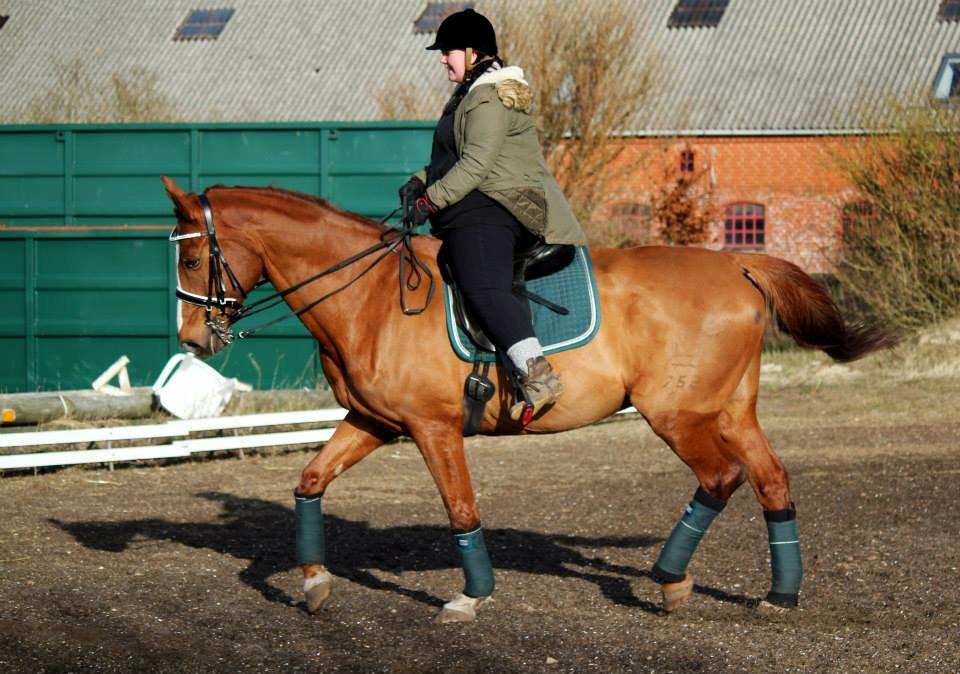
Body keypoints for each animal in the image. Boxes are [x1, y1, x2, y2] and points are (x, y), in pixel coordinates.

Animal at [163, 177, 892, 620]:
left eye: (193, 260)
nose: (194, 338)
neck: (367, 296)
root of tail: (735, 262)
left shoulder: (432, 427)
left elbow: (461, 509)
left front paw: (471, 597)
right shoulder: (372, 420)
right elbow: (310, 480)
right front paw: (315, 582)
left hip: (679, 415)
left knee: (722, 478)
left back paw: (670, 579)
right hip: (732, 411)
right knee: (771, 482)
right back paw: (779, 594)